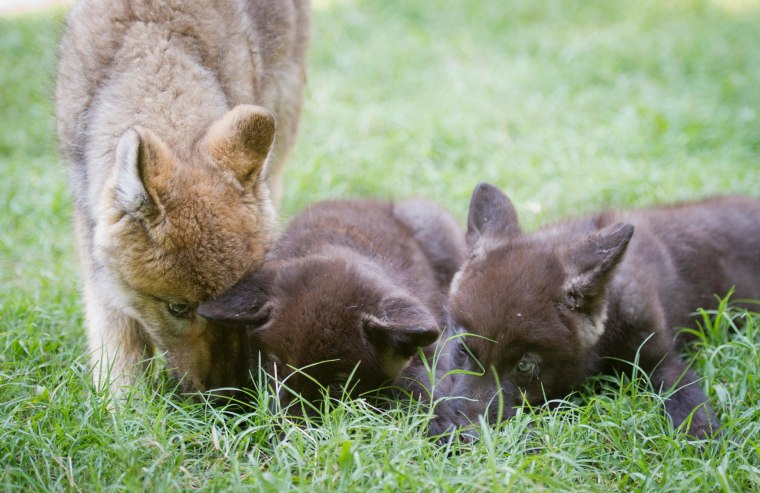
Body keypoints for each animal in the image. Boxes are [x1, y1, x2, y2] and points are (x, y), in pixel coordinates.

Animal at [53, 0, 310, 396]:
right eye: (178, 308)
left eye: (243, 299)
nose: (226, 395)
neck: (154, 39)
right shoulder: (90, 232)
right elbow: (118, 341)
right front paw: (126, 406)